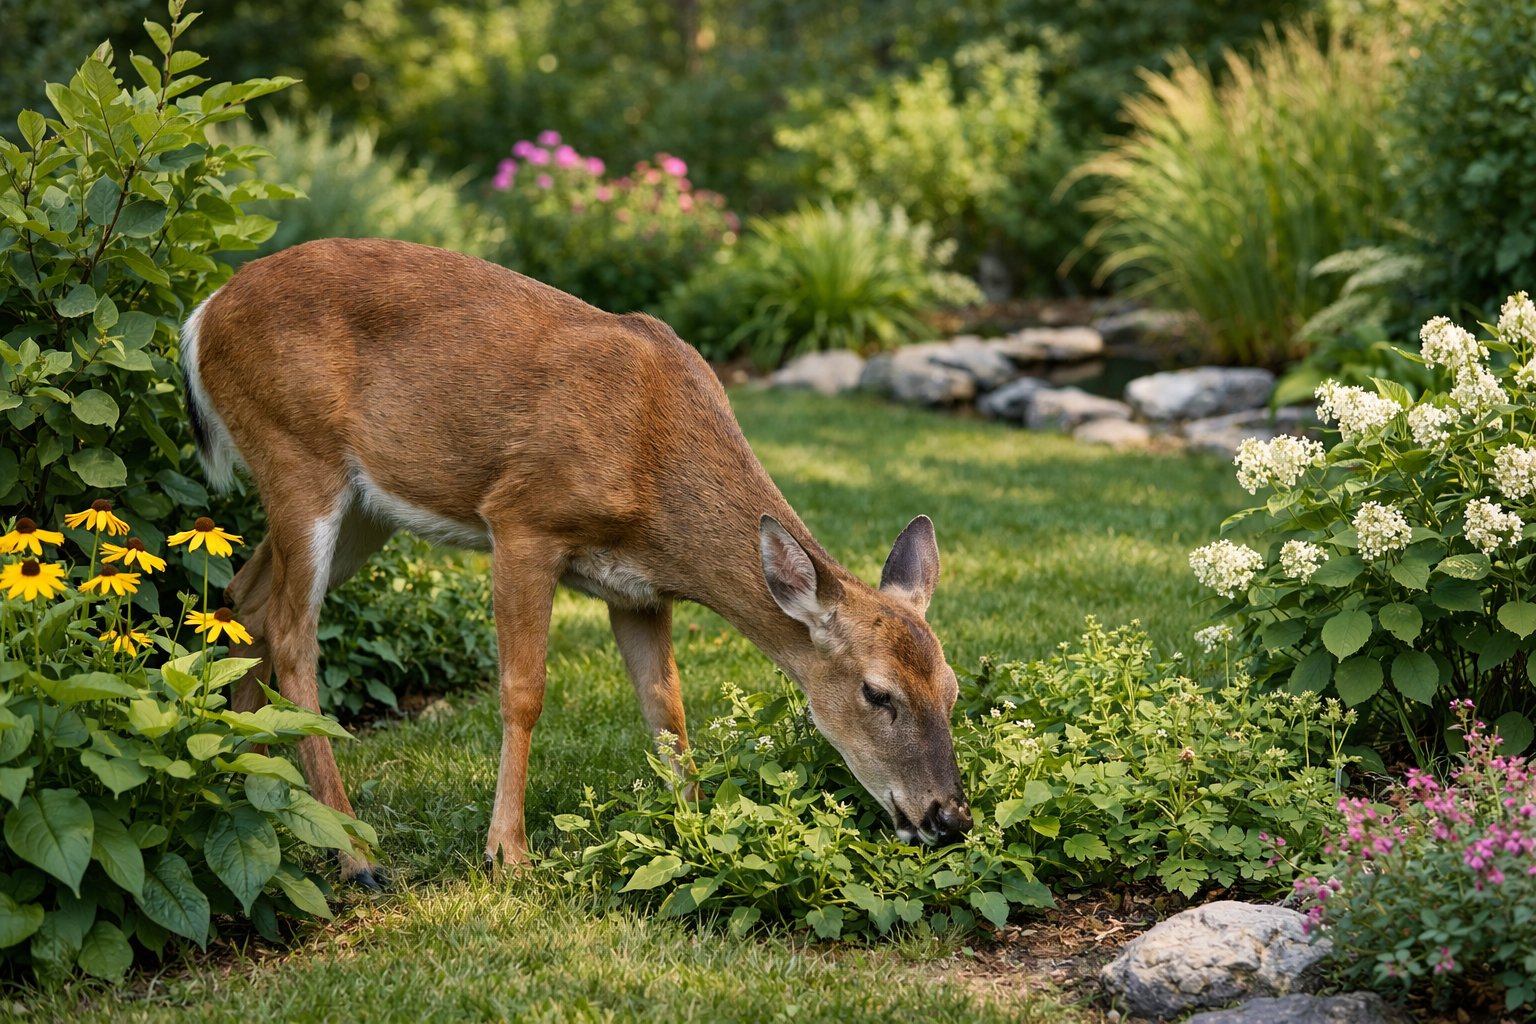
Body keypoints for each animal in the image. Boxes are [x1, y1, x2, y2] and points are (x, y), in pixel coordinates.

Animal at [181, 237, 972, 885]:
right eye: (877, 693)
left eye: (953, 688)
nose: (950, 817)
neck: (652, 468)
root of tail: (202, 315)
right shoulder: (523, 521)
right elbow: (523, 691)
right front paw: (507, 853)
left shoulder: (638, 591)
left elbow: (666, 708)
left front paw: (693, 829)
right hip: (296, 452)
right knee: (293, 634)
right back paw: (355, 854)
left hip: (364, 511)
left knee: (247, 598)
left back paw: (248, 771)